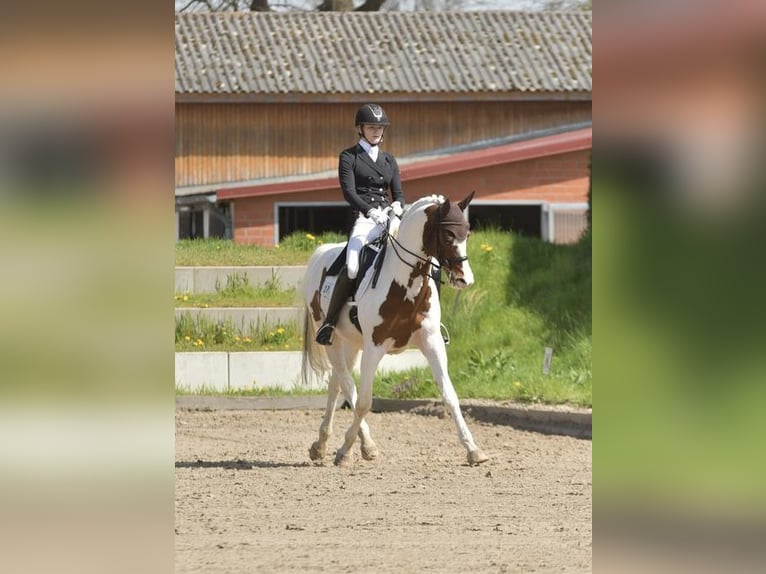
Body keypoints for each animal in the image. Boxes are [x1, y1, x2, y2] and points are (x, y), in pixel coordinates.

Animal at [300, 192, 489, 467]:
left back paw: (322, 444)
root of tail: (322, 252)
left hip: (352, 343)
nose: (465, 279)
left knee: (338, 382)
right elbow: (364, 401)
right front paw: (345, 450)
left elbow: (450, 396)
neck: (404, 284)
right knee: (347, 383)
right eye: (448, 235)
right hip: (332, 339)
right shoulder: (374, 347)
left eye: (467, 234)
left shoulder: (432, 342)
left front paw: (473, 450)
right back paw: (362, 445)